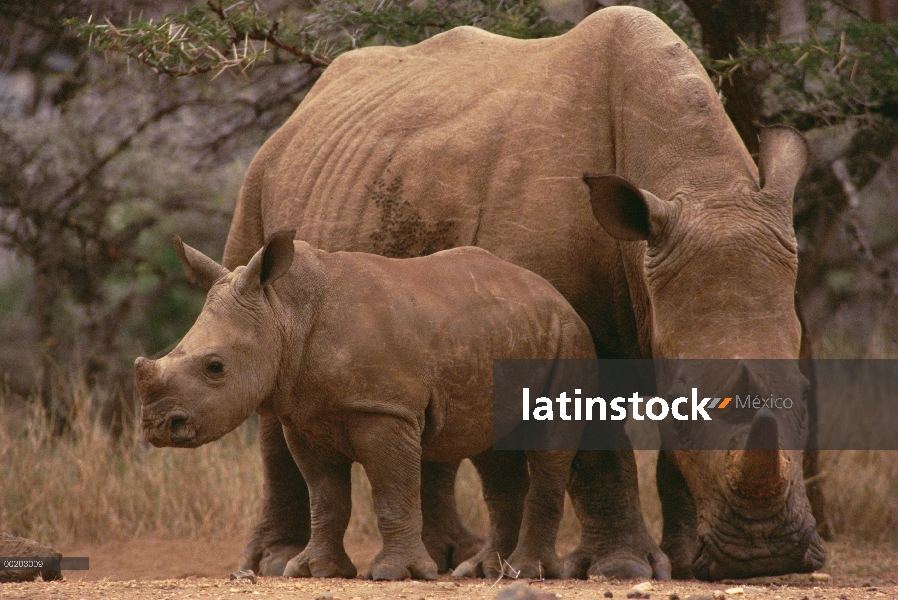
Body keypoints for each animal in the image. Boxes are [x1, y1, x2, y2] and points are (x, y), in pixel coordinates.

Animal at [133, 231, 596, 580]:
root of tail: (553, 293)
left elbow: (392, 489)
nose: (157, 427)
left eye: (215, 367)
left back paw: (525, 573)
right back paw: (483, 571)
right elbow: (325, 497)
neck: (283, 311)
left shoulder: (384, 409)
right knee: (492, 450)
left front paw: (395, 574)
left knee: (548, 448)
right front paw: (314, 570)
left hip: (568, 336)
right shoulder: (304, 417)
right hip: (506, 333)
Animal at [222, 5, 820, 580]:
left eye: (805, 393)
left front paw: (692, 564)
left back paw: (453, 560)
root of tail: (302, 112)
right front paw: (622, 567)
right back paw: (277, 563)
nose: (769, 556)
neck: (698, 185)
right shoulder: (578, 320)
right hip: (258, 189)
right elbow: (597, 443)